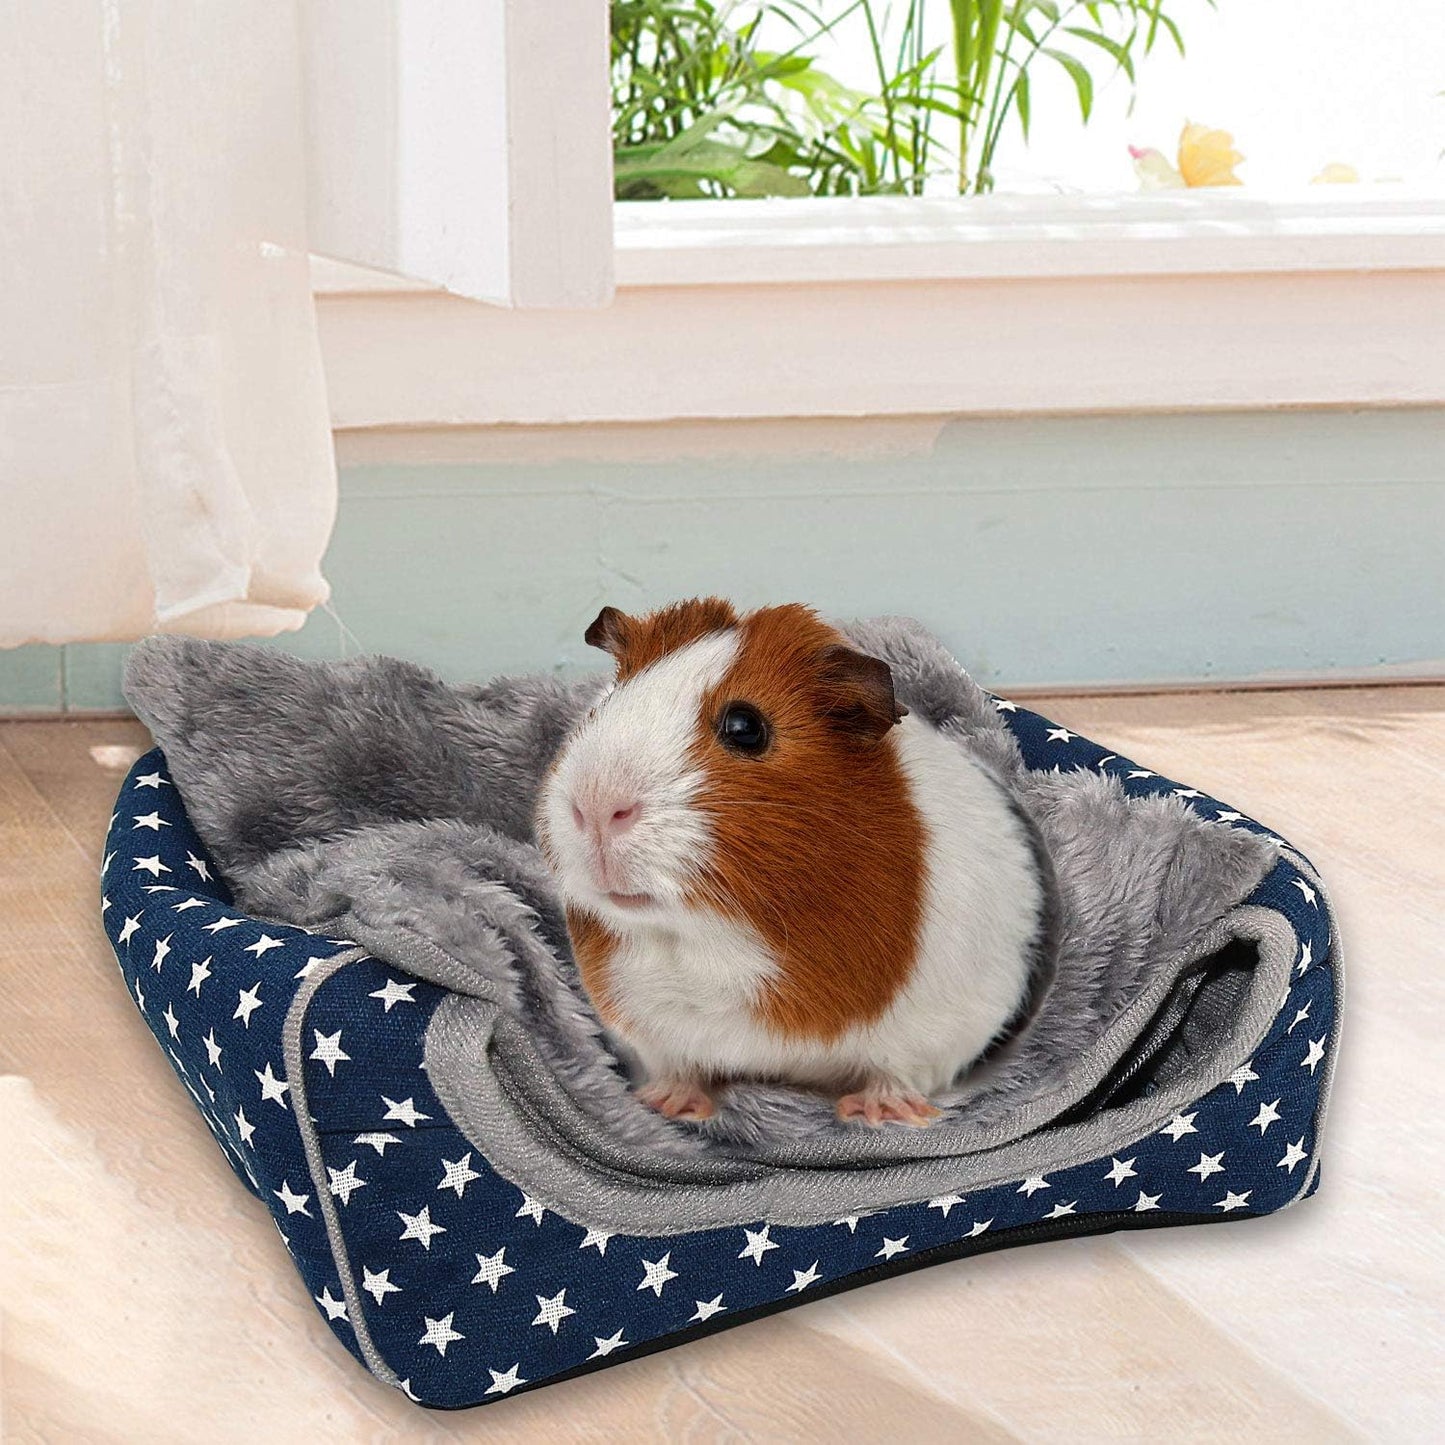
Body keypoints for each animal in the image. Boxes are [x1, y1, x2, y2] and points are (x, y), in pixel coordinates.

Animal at [536, 598, 1047, 1128]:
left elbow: (896, 1071)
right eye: (604, 705)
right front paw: (668, 1105)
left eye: (745, 727)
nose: (595, 806)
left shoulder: (939, 1029)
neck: (712, 943)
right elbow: (678, 1067)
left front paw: (879, 1113)